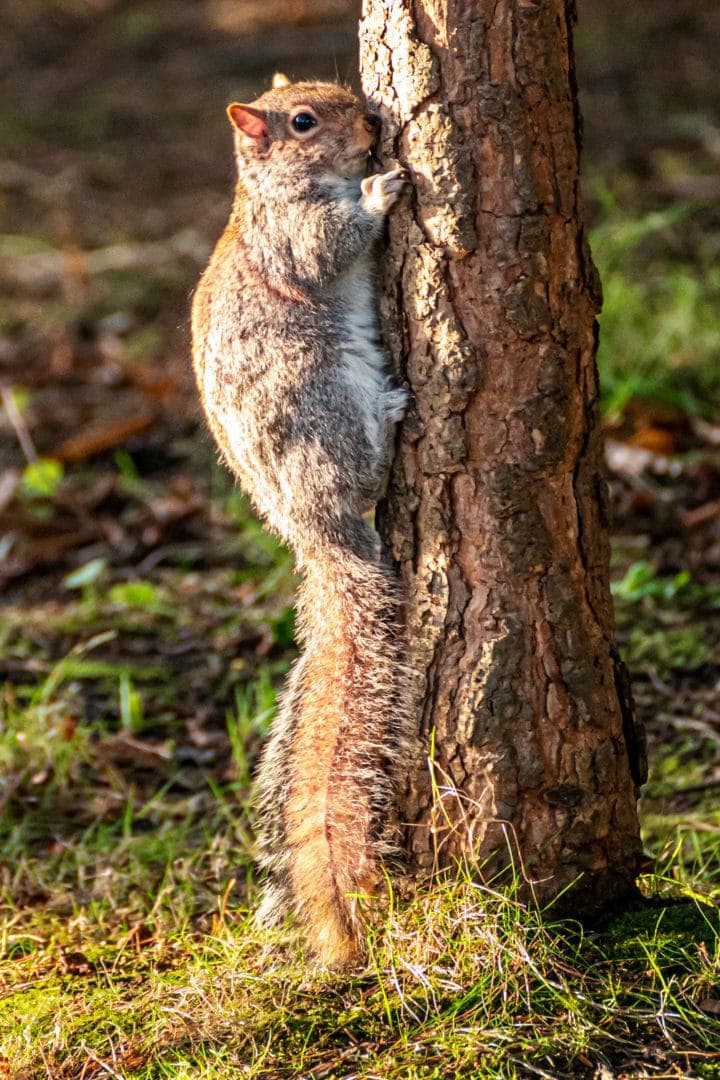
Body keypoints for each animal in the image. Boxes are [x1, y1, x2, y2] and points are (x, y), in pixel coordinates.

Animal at [191, 76, 414, 967]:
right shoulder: (292, 235)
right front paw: (383, 189)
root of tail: (316, 534)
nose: (375, 119)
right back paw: (391, 419)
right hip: (324, 405)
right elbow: (331, 241)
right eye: (304, 121)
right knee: (361, 467)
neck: (270, 188)